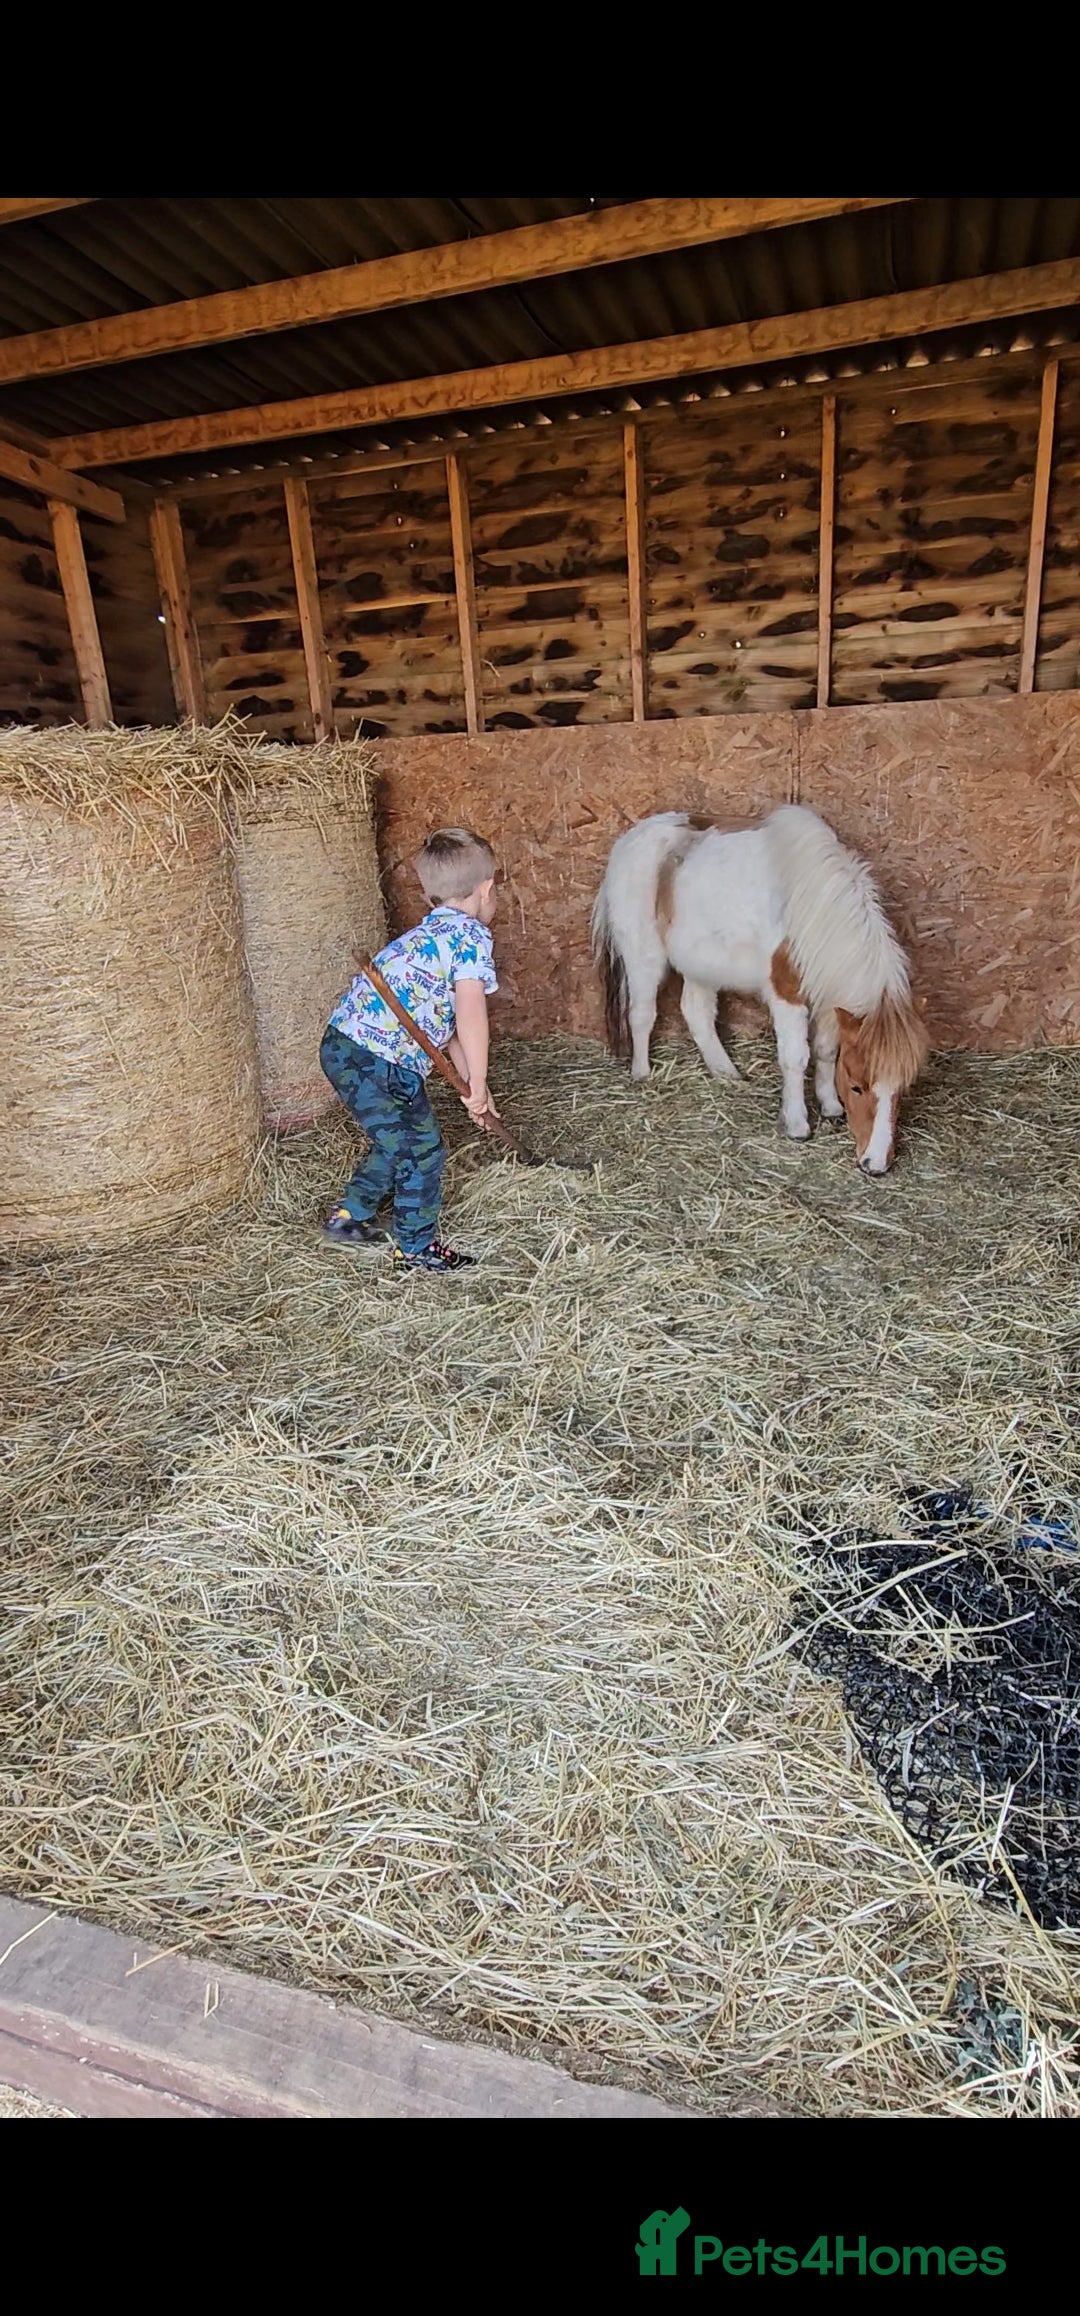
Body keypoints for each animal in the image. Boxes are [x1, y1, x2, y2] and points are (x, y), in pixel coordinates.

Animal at [591, 804, 929, 1174]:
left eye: (902, 1089)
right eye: (857, 1087)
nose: (876, 1164)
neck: (814, 909)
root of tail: (630, 839)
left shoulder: (827, 998)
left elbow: (826, 1050)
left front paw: (830, 1107)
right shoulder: (787, 994)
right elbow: (796, 1057)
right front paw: (797, 1124)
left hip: (700, 964)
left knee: (696, 1013)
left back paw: (726, 1072)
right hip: (644, 958)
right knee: (642, 1015)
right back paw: (642, 1073)